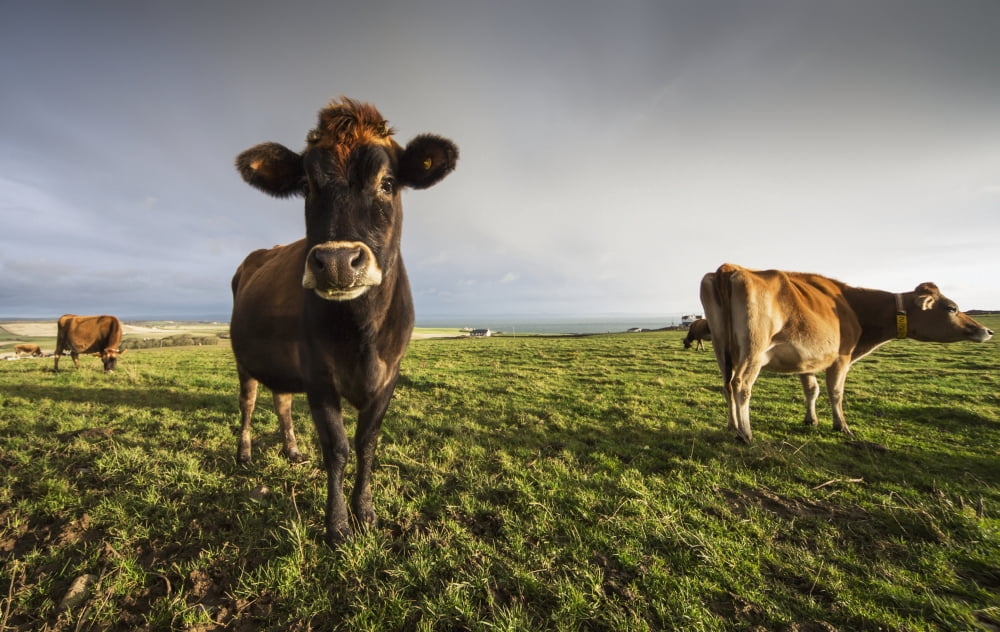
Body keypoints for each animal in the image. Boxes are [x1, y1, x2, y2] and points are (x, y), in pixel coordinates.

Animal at [230, 97, 458, 544]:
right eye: (307, 185)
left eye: (388, 183)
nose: (336, 262)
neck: (362, 334)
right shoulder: (318, 376)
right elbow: (336, 448)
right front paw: (336, 524)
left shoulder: (389, 376)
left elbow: (366, 443)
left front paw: (364, 512)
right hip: (244, 360)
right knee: (248, 403)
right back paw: (244, 453)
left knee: (281, 401)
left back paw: (292, 450)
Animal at [699, 264, 993, 443]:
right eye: (952, 308)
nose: (987, 331)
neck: (853, 307)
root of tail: (731, 268)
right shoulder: (841, 357)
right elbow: (836, 392)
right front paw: (842, 426)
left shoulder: (806, 360)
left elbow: (812, 389)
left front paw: (811, 420)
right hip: (755, 349)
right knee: (741, 384)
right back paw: (746, 433)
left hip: (721, 345)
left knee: (727, 384)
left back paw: (732, 426)